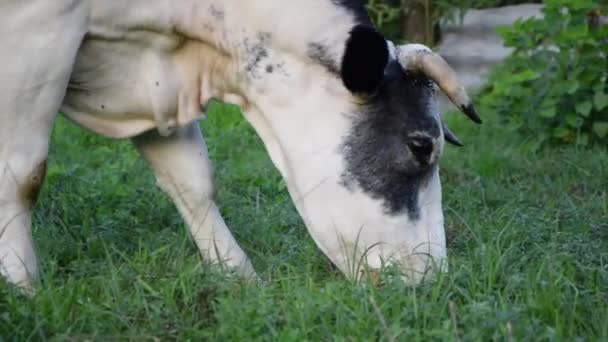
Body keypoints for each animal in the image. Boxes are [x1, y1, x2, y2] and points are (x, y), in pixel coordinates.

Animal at [2, 0, 482, 292]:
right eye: (420, 146)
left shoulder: (156, 86)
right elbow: (23, 178)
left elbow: (192, 182)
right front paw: (25, 290)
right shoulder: (33, 37)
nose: (433, 278)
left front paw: (238, 278)